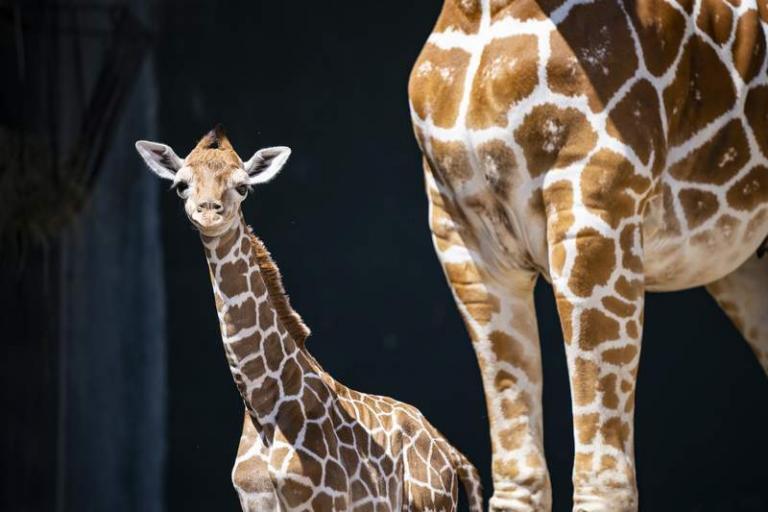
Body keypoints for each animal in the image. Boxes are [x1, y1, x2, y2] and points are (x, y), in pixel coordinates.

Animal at [134, 125, 476, 512]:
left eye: (243, 186)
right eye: (182, 184)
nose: (209, 212)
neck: (262, 403)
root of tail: (450, 453)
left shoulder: (321, 501)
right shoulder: (254, 501)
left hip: (430, 503)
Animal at [408, 0, 768, 510]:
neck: (483, 12)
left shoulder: (595, 208)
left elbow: (603, 477)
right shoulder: (465, 237)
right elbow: (519, 477)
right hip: (746, 268)